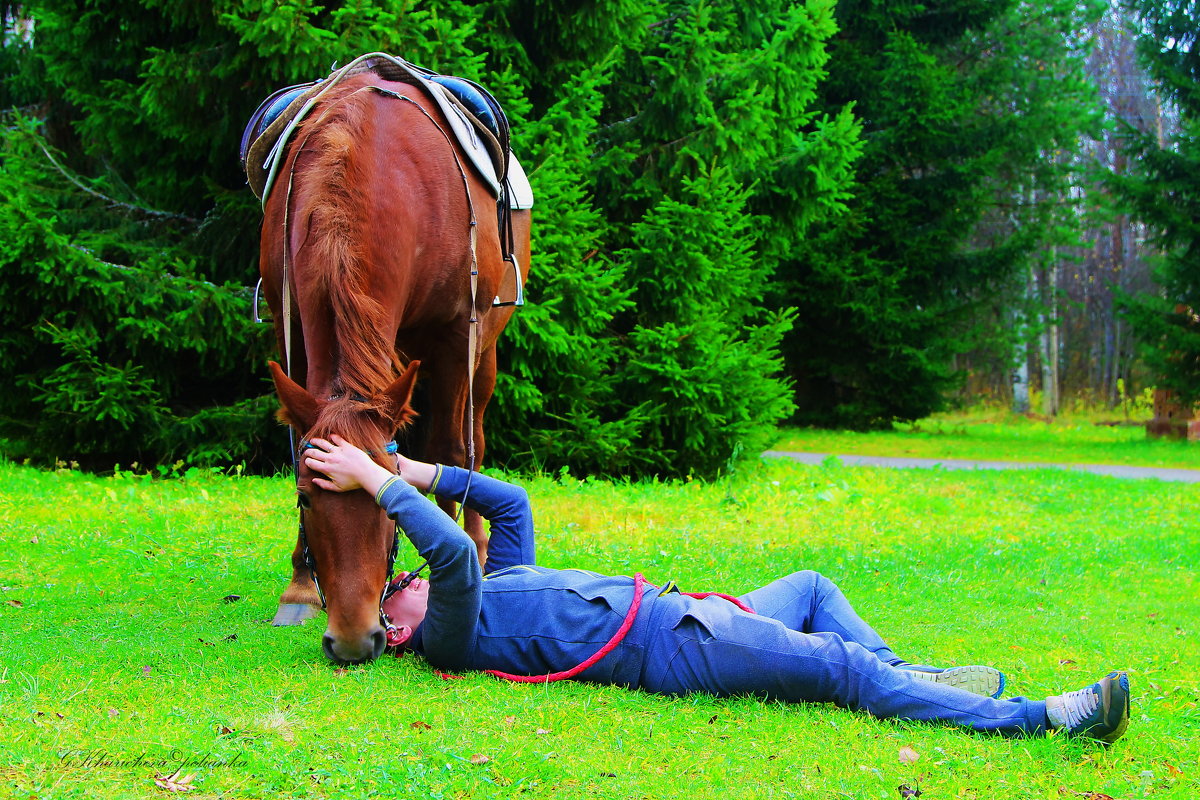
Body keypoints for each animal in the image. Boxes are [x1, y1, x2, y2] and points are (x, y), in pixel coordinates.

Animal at [256, 68, 530, 666]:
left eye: (390, 508)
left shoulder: (453, 335)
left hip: (483, 352)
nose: (353, 639)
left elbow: (450, 451)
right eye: (305, 499)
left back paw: (477, 543)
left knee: (470, 438)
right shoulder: (291, 332)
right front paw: (299, 588)